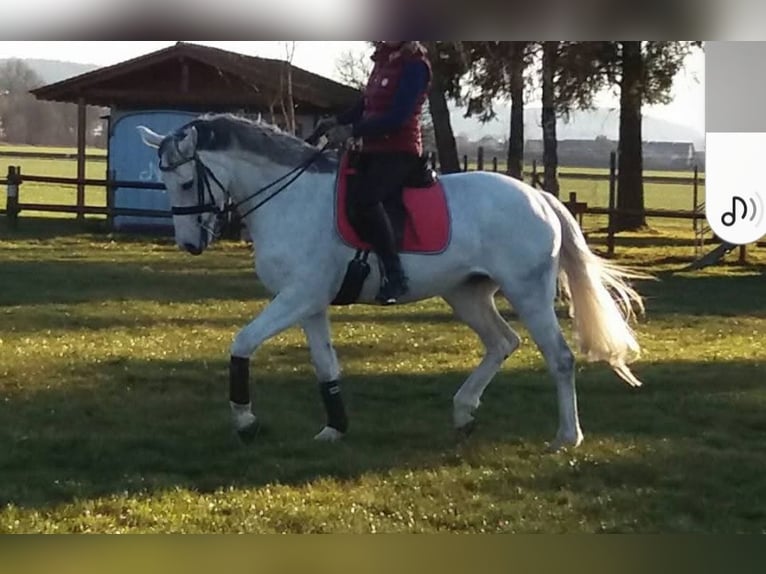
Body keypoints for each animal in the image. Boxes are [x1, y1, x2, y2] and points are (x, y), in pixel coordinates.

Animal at [137, 113, 647, 451]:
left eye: (186, 183)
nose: (189, 245)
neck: (289, 198)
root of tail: (540, 197)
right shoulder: (310, 304)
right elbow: (326, 367)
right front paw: (334, 428)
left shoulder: (297, 297)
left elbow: (242, 343)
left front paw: (245, 421)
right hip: (466, 293)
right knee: (503, 343)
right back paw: (463, 413)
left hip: (528, 290)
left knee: (559, 357)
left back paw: (567, 437)